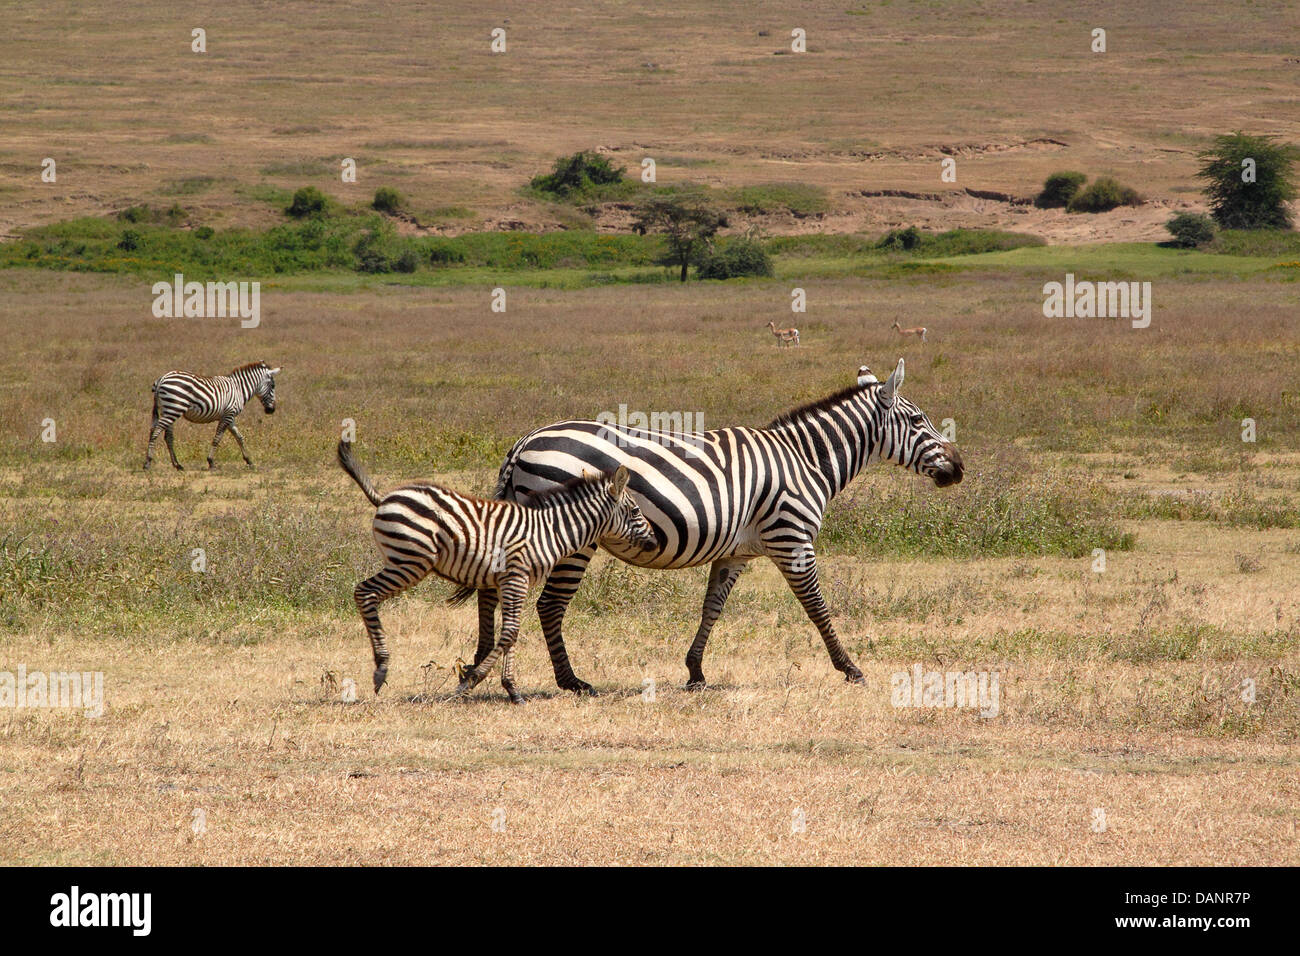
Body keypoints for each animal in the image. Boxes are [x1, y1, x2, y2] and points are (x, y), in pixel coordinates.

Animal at [143, 361, 280, 470]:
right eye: (273, 386)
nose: (272, 410)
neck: (239, 389)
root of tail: (162, 378)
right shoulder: (228, 415)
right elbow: (217, 438)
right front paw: (211, 462)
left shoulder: (230, 416)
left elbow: (239, 437)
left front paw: (249, 460)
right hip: (174, 409)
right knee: (155, 431)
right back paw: (148, 462)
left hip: (168, 410)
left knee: (168, 437)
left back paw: (177, 465)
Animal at [338, 442, 655, 702]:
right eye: (636, 512)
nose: (653, 541)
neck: (549, 531)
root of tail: (385, 498)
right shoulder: (516, 576)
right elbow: (510, 632)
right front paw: (470, 682)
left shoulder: (513, 580)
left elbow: (511, 633)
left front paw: (511, 689)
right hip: (411, 562)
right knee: (365, 592)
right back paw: (381, 667)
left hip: (407, 561)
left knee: (365, 592)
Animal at [449, 358, 967, 697]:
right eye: (918, 419)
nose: (959, 469)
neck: (804, 460)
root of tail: (525, 441)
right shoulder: (792, 538)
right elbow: (818, 608)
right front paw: (850, 668)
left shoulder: (735, 551)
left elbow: (712, 608)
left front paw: (695, 671)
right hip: (573, 536)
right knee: (550, 605)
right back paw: (570, 682)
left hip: (517, 521)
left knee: (490, 593)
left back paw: (475, 665)